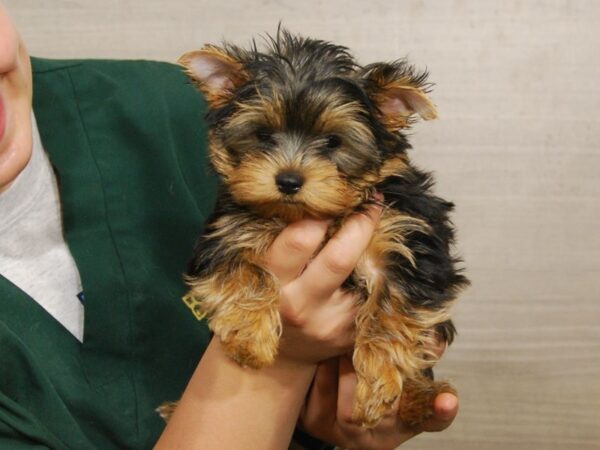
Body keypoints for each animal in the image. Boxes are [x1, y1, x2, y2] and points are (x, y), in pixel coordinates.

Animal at [176, 29, 466, 428]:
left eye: (333, 142)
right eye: (263, 135)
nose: (288, 180)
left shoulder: (411, 235)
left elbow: (395, 303)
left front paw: (378, 382)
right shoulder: (227, 230)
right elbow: (241, 269)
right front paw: (250, 338)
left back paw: (420, 399)